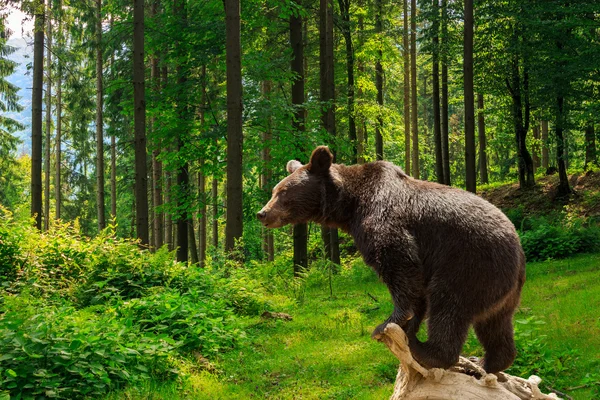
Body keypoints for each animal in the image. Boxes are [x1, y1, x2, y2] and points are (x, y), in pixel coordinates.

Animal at [258, 145, 524, 374]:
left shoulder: (384, 218)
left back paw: (426, 350)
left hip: (469, 263)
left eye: (283, 192)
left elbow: (399, 264)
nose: (262, 213)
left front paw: (389, 322)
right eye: (274, 191)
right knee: (495, 324)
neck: (350, 205)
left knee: (449, 304)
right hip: (502, 291)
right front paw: (408, 323)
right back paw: (485, 361)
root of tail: (517, 250)